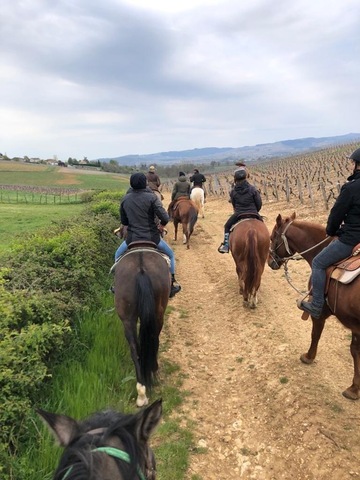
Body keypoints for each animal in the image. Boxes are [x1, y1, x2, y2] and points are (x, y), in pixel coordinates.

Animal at [115, 246, 172, 406]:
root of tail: (141, 270)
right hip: (158, 313)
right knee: (154, 339)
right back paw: (153, 370)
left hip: (127, 319)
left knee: (135, 349)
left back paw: (141, 392)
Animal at [268, 212, 360, 400]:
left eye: (273, 237)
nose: (269, 260)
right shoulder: (354, 325)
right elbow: (355, 350)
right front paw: (355, 388)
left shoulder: (320, 312)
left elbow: (315, 334)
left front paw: (308, 356)